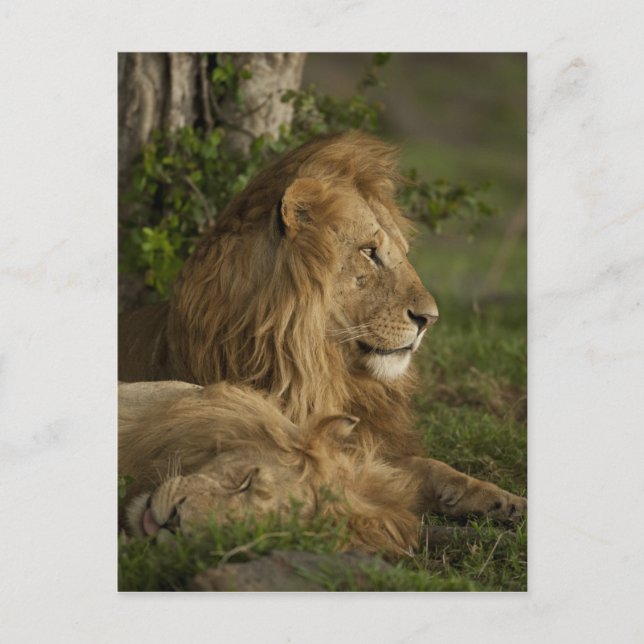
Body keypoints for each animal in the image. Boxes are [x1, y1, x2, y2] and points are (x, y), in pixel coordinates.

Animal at [119, 131, 526, 522]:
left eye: (404, 254)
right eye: (369, 251)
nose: (430, 318)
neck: (323, 371)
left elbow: (432, 467)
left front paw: (504, 501)